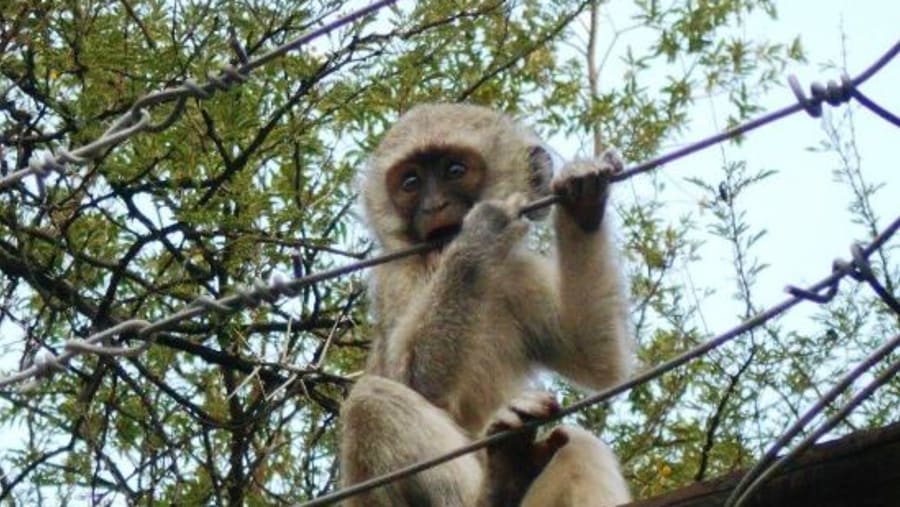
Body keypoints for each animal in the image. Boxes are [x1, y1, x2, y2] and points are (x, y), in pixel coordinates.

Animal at [338, 103, 633, 506]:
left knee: (578, 446)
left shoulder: (515, 274)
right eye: (411, 182)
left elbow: (597, 357)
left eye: (455, 171)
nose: (435, 205)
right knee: (371, 399)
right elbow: (412, 380)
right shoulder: (396, 274)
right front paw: (478, 241)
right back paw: (499, 484)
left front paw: (584, 197)